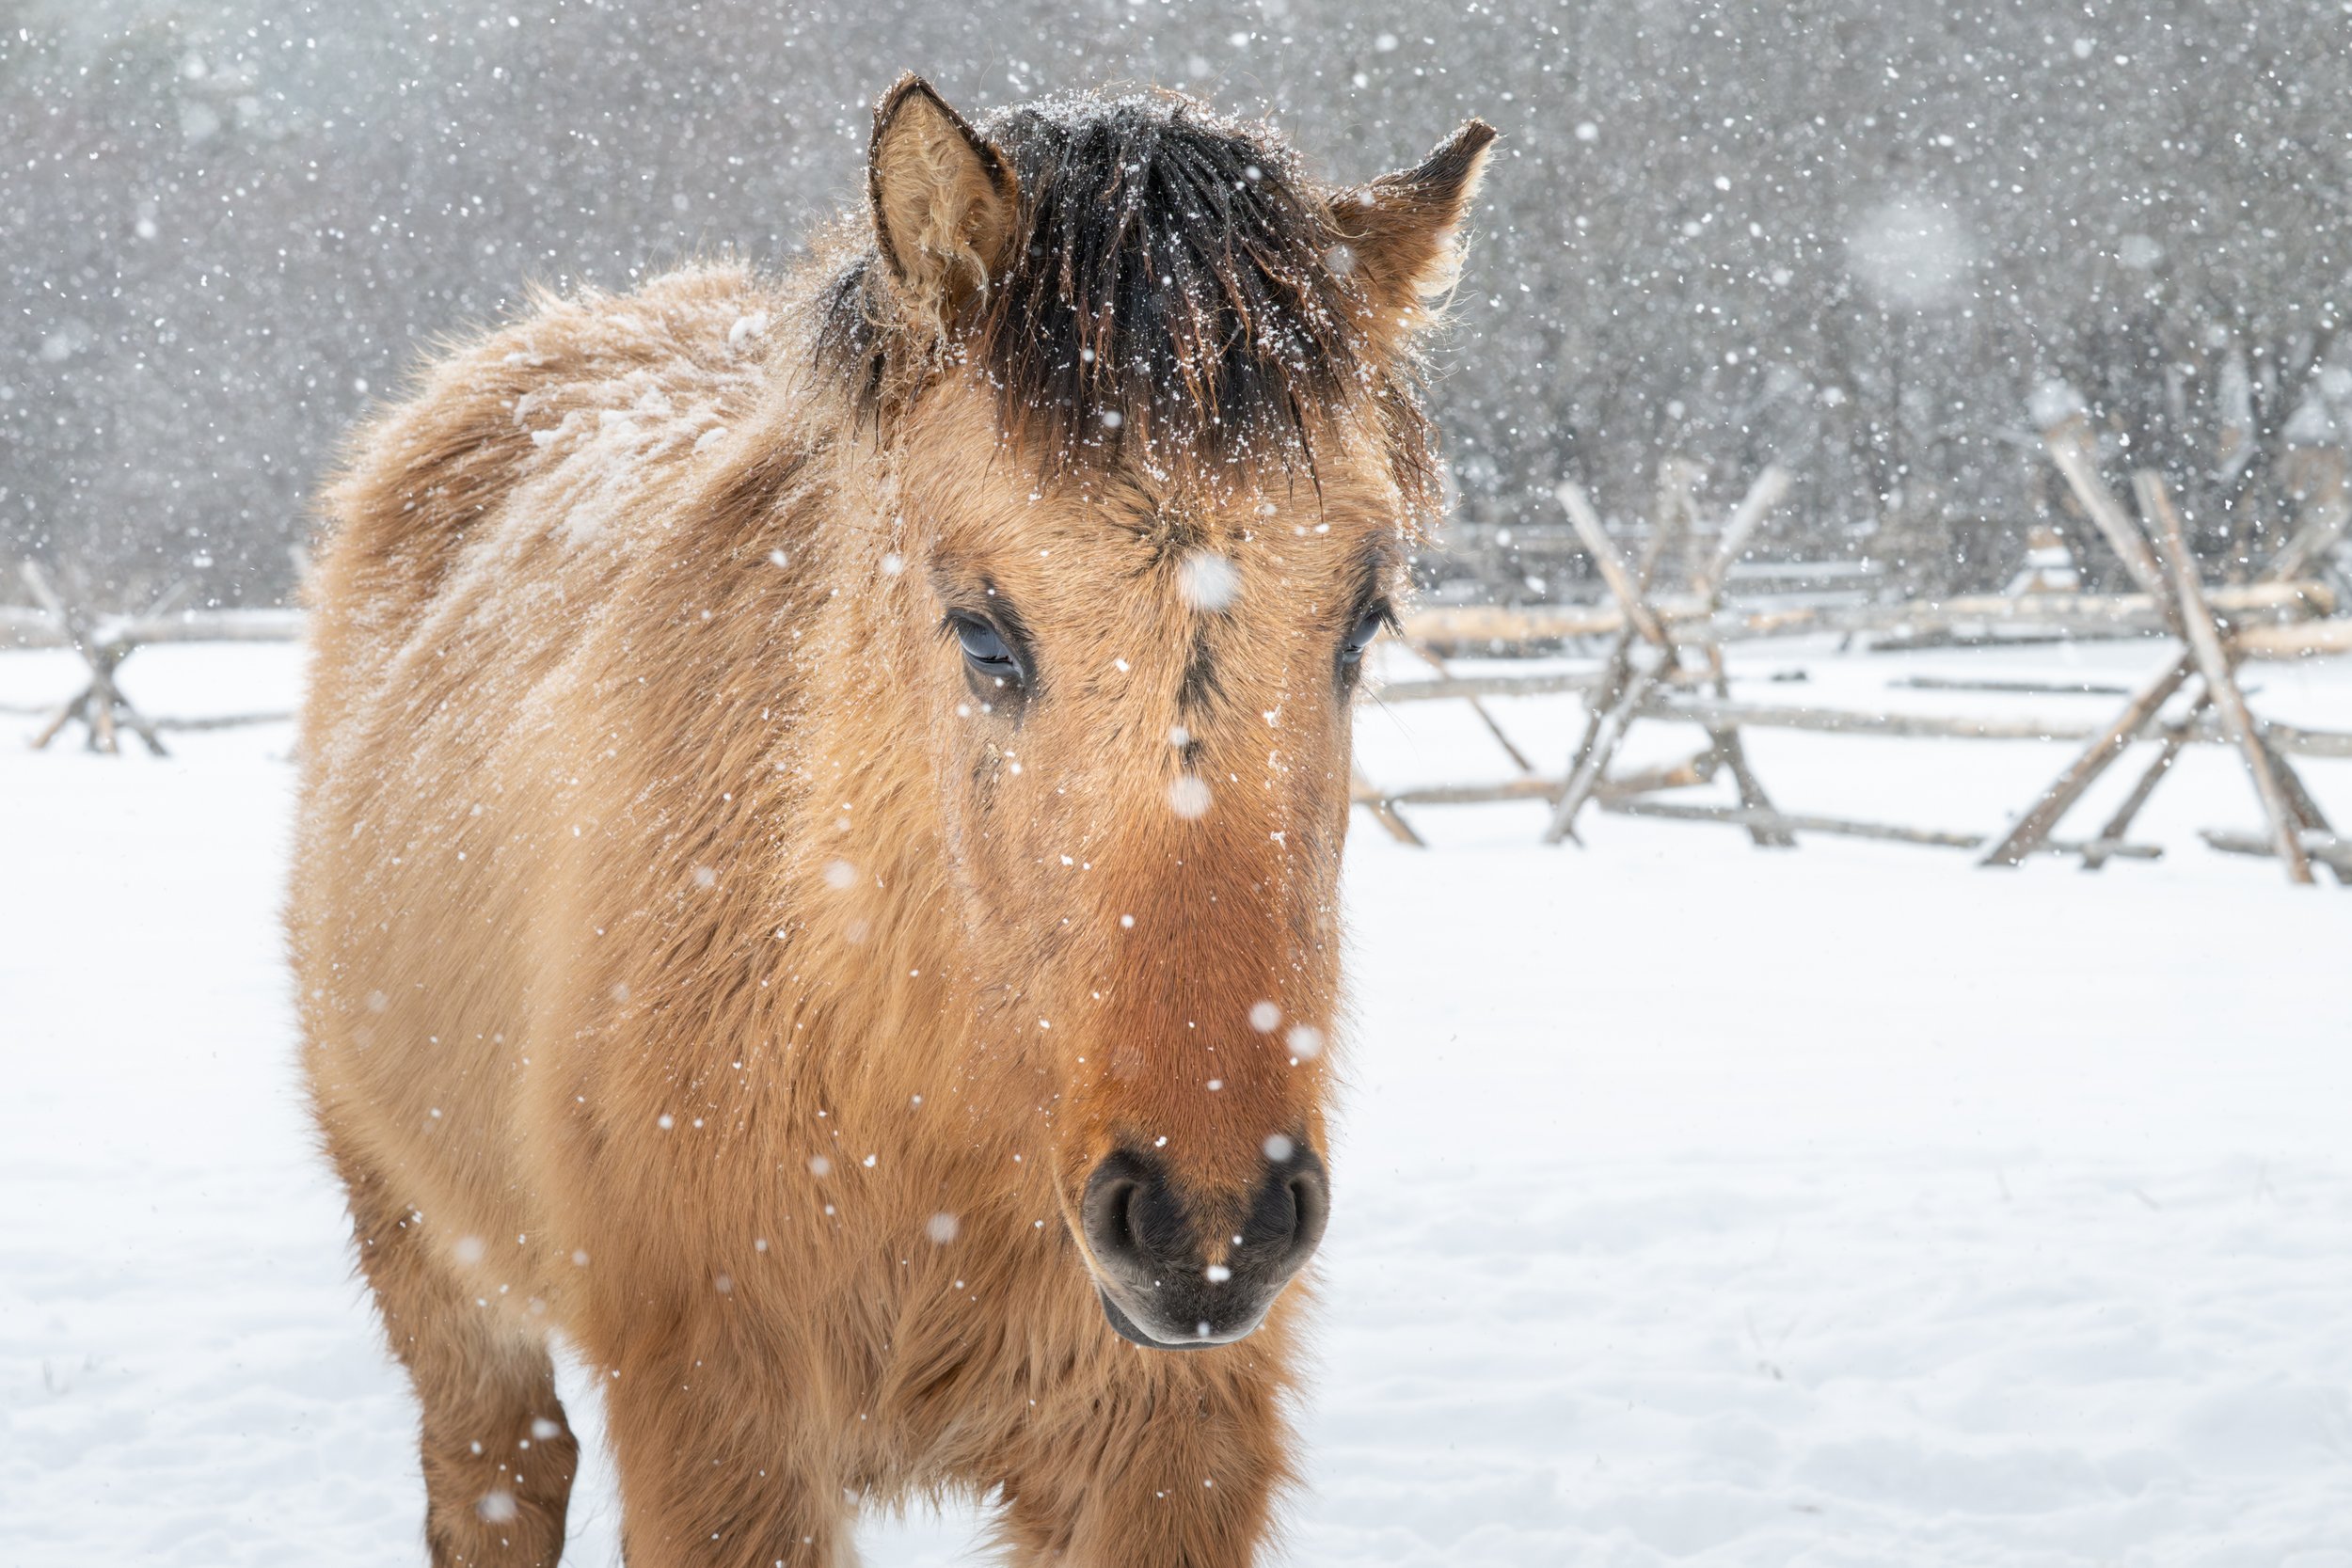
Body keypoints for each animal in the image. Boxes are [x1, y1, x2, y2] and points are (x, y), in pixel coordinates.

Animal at [290, 73, 1491, 1567]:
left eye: (1366, 616)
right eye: (982, 631)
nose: (1205, 1222)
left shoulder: (1165, 1445)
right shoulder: (717, 1433)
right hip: (424, 1253)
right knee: (498, 1472)